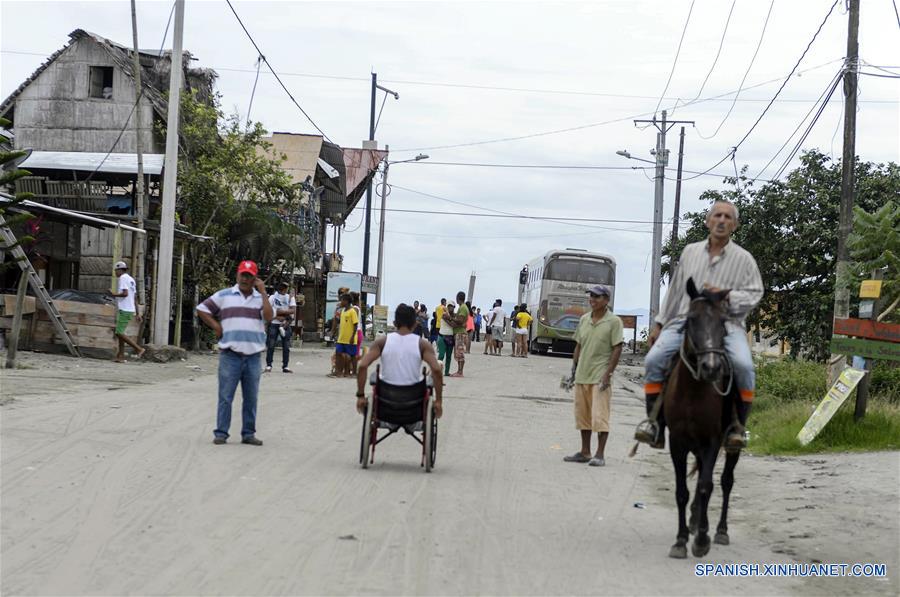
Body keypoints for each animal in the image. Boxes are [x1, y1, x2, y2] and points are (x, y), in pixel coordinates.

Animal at [668, 278, 740, 556]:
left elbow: (706, 486)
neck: (693, 392)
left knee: (726, 481)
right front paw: (680, 539)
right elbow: (682, 491)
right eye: (691, 319)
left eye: (723, 322)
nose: (711, 367)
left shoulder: (712, 442)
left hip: (730, 446)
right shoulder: (676, 443)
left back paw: (720, 530)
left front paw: (701, 539)